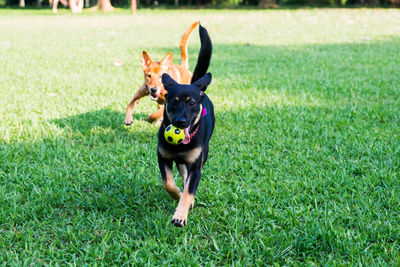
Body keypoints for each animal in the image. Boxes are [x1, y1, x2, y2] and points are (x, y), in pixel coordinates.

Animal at [157, 24, 214, 228]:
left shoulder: (196, 166)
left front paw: (180, 215)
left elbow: (190, 189)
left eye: (191, 103)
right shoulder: (163, 157)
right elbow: (168, 183)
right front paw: (177, 196)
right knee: (182, 174)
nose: (181, 122)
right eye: (173, 102)